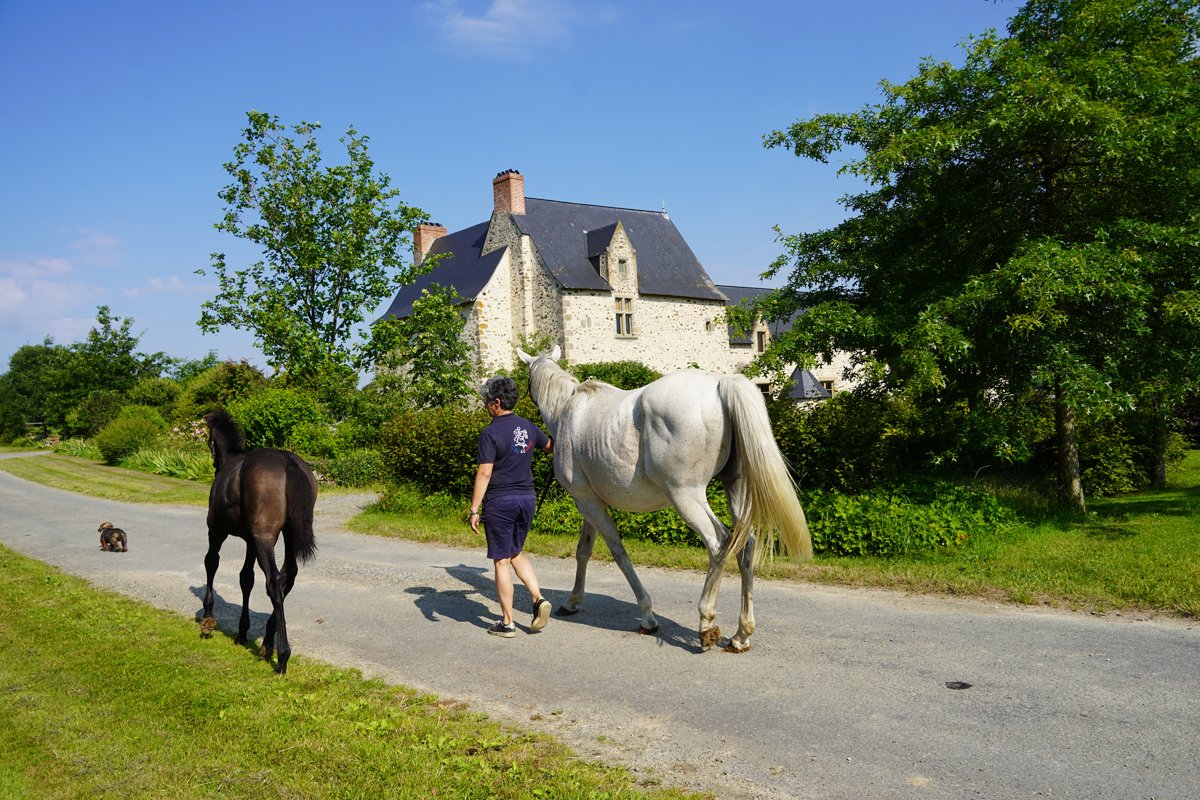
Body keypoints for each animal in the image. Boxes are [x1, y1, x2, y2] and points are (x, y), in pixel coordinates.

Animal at [200, 410, 318, 675]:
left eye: (210, 442)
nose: (214, 464)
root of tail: (288, 462)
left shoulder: (216, 532)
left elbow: (211, 562)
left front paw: (208, 618)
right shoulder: (250, 541)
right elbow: (246, 578)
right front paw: (242, 631)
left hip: (264, 538)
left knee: (273, 581)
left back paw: (282, 657)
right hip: (286, 535)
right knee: (287, 577)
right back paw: (267, 644)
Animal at [518, 346, 813, 652]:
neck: (568, 410)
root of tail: (721, 383)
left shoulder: (587, 502)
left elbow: (618, 553)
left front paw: (647, 615)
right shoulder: (590, 502)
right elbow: (583, 551)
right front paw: (573, 602)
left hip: (686, 497)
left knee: (719, 543)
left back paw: (706, 624)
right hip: (735, 488)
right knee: (745, 546)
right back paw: (741, 635)